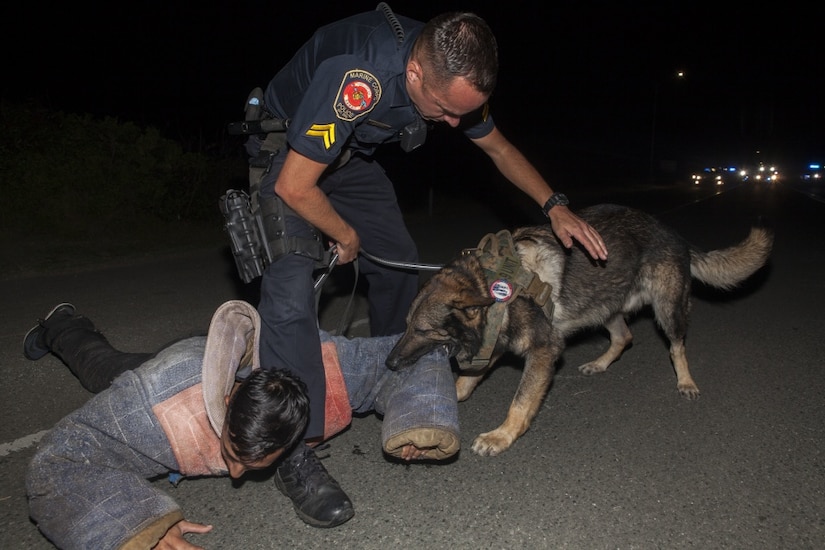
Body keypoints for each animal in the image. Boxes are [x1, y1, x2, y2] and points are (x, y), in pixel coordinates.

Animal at [386, 205, 772, 460]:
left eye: (422, 329)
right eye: (406, 325)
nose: (389, 364)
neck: (490, 285)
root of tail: (674, 233)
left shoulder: (544, 352)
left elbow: (520, 402)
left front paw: (501, 436)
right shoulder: (493, 344)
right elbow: (466, 380)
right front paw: (444, 400)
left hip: (667, 309)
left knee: (676, 345)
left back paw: (686, 381)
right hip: (604, 305)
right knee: (624, 337)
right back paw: (600, 364)